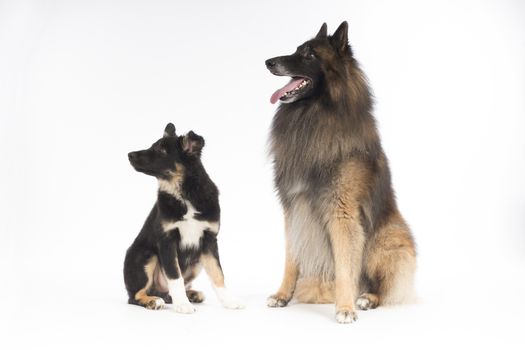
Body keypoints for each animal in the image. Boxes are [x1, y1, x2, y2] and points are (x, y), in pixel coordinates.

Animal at [124, 122, 244, 312]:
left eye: (162, 150)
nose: (130, 154)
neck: (185, 194)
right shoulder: (167, 239)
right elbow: (175, 275)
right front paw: (182, 304)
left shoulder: (209, 240)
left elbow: (218, 274)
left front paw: (230, 300)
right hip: (146, 255)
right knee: (135, 295)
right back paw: (153, 300)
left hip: (197, 261)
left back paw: (191, 294)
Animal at [264, 21, 416, 322]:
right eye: (297, 50)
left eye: (310, 54)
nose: (268, 62)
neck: (313, 116)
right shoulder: (293, 208)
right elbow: (291, 257)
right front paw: (283, 294)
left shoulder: (342, 212)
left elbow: (346, 266)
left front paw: (345, 308)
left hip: (388, 238)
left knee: (382, 285)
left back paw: (366, 298)